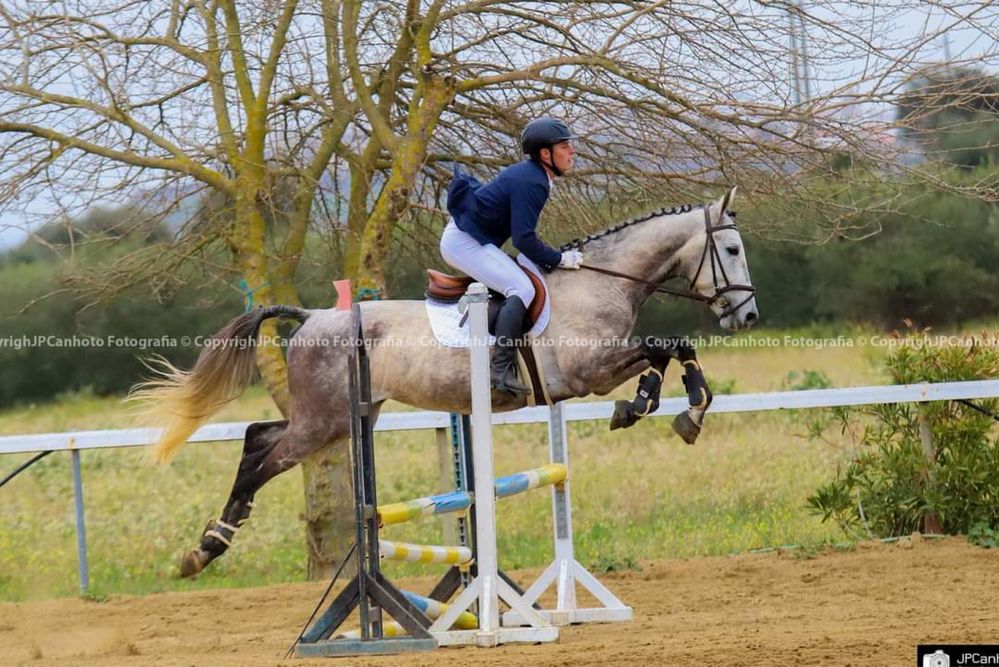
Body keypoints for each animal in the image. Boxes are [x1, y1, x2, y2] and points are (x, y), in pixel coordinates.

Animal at [135, 185, 756, 576]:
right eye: (730, 249)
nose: (746, 317)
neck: (603, 282)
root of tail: (312, 316)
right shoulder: (589, 372)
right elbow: (661, 351)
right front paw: (650, 406)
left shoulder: (600, 368)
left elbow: (674, 350)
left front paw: (682, 411)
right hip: (324, 421)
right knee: (263, 457)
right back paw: (206, 548)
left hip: (342, 416)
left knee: (257, 436)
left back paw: (212, 540)